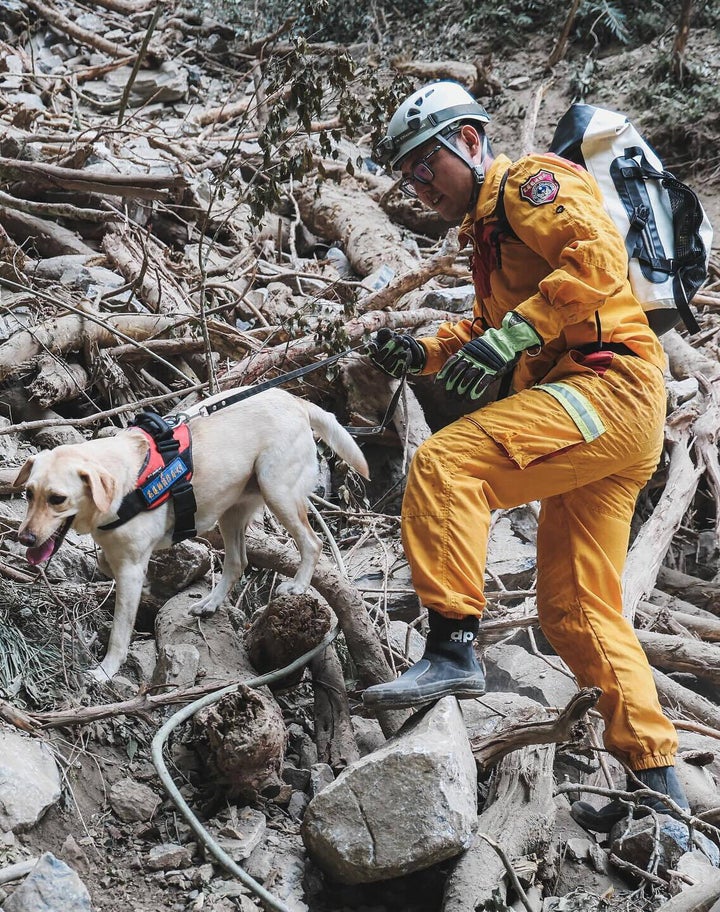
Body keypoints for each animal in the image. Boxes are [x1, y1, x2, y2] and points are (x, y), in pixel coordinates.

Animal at [14, 388, 368, 680]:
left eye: (57, 499)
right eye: (29, 493)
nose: (25, 539)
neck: (122, 483)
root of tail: (295, 400)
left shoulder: (130, 569)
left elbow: (119, 632)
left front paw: (106, 670)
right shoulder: (121, 556)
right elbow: (104, 561)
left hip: (277, 491)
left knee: (313, 542)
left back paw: (297, 585)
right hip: (232, 511)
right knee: (237, 563)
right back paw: (210, 603)